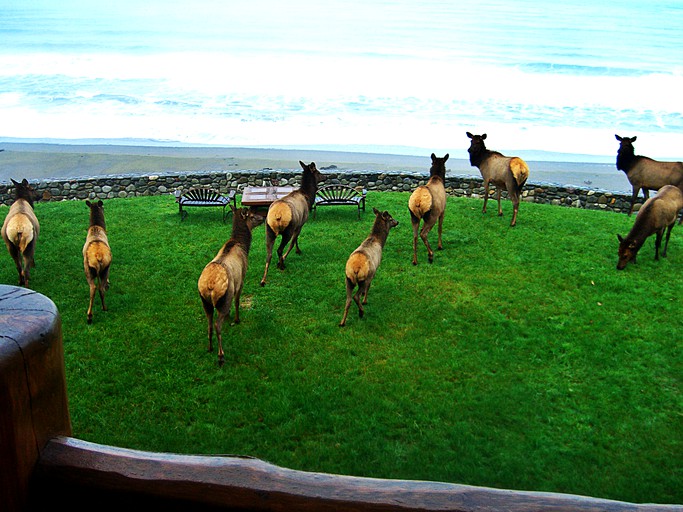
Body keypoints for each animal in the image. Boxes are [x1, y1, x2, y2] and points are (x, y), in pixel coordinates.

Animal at [199, 206, 266, 366]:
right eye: (252, 216)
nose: (264, 216)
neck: (242, 245)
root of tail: (209, 287)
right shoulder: (241, 279)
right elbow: (237, 301)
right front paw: (236, 319)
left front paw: (230, 317)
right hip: (225, 296)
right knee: (217, 325)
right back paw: (221, 355)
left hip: (205, 302)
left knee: (209, 323)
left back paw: (210, 347)